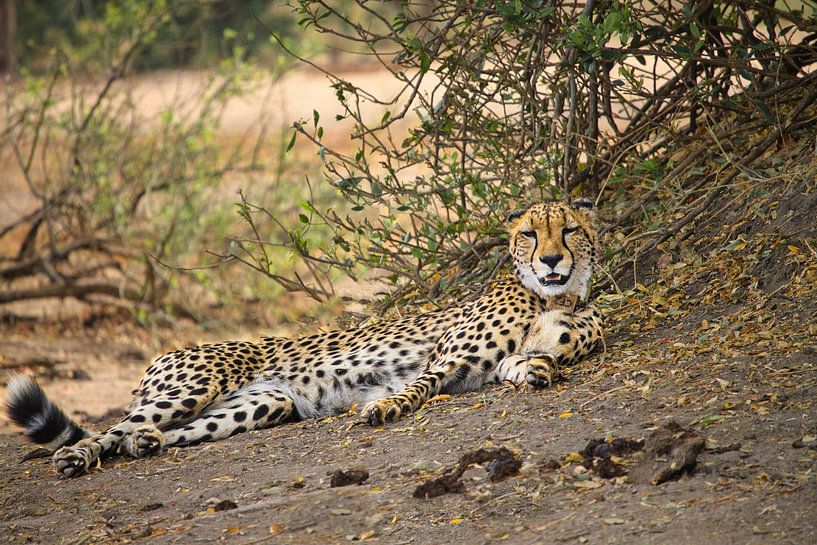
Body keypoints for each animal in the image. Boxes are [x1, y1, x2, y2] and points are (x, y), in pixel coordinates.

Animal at [5, 199, 604, 478]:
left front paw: (539, 368)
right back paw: (77, 459)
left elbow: (541, 362)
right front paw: (382, 408)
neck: (552, 297)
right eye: (530, 234)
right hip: (193, 385)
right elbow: (417, 388)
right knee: (111, 429)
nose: (552, 259)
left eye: (569, 230)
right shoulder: (444, 359)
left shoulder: (515, 355)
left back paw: (146, 445)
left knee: (161, 433)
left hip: (263, 404)